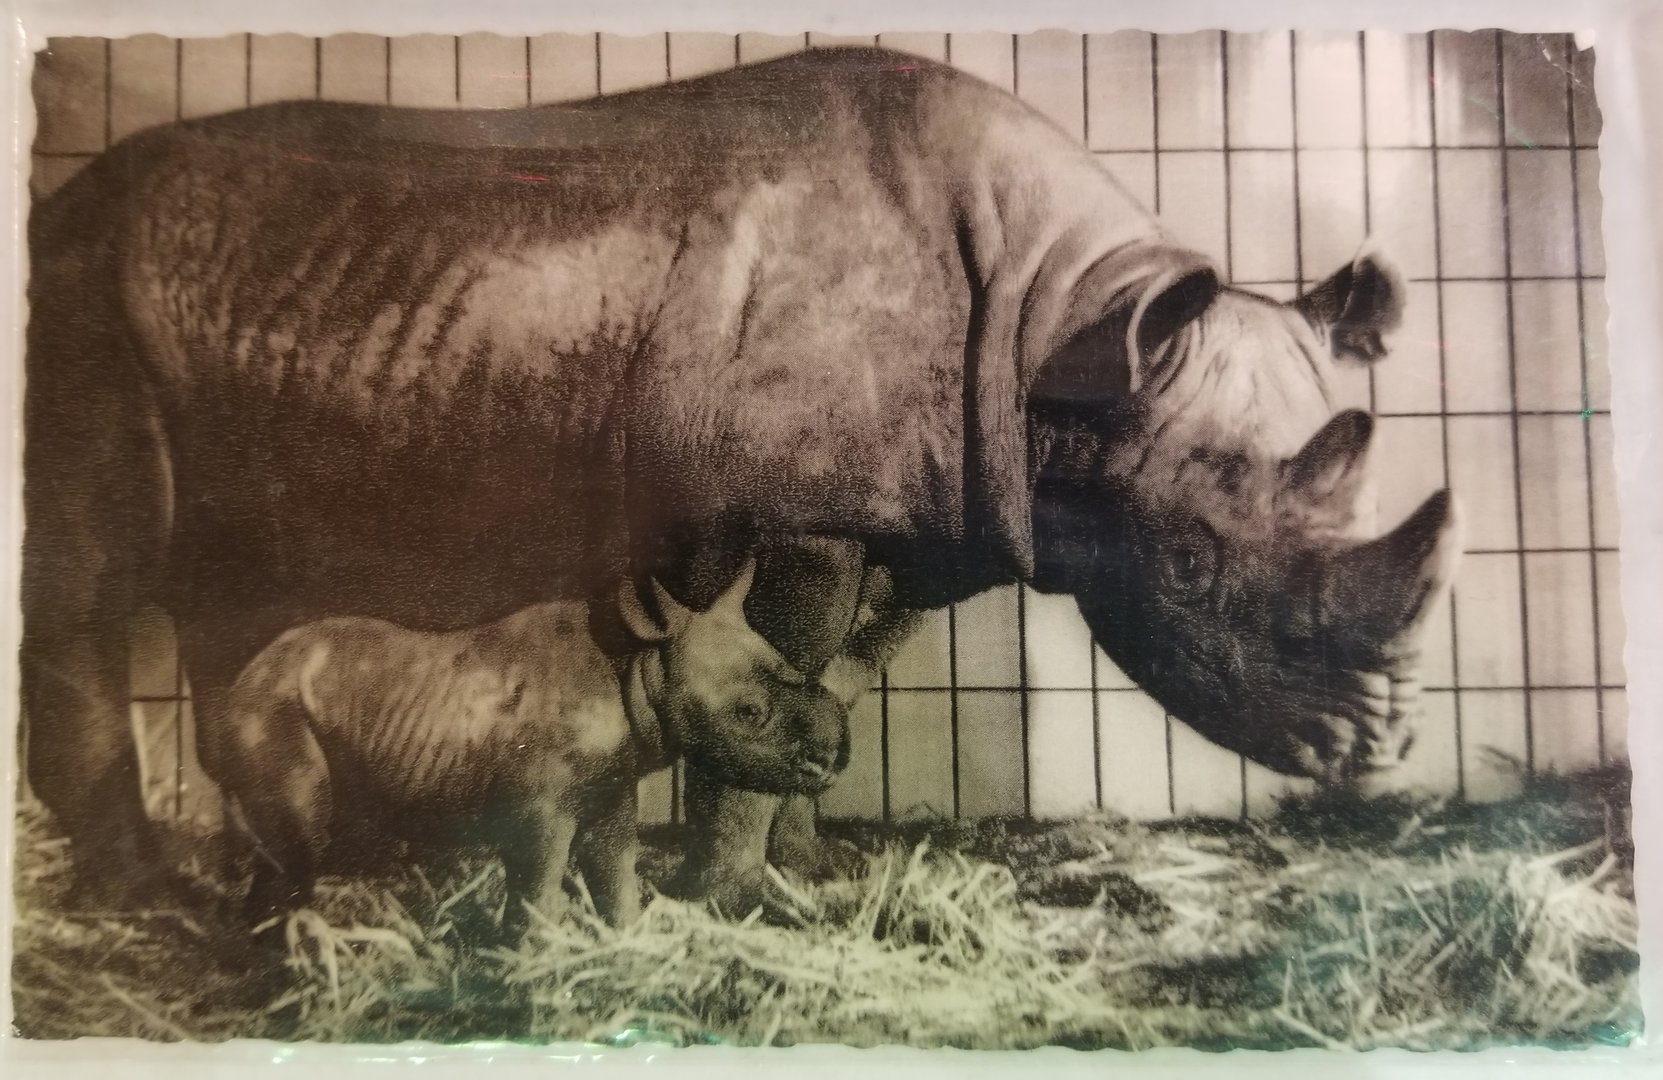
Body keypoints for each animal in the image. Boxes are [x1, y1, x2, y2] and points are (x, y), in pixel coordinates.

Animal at [220, 563, 845, 935]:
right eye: (749, 713)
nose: (831, 761)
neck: (638, 664)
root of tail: (239, 679)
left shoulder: (611, 784)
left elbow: (614, 868)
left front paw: (626, 941)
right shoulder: (537, 808)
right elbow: (538, 881)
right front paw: (535, 954)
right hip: (270, 706)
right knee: (300, 837)